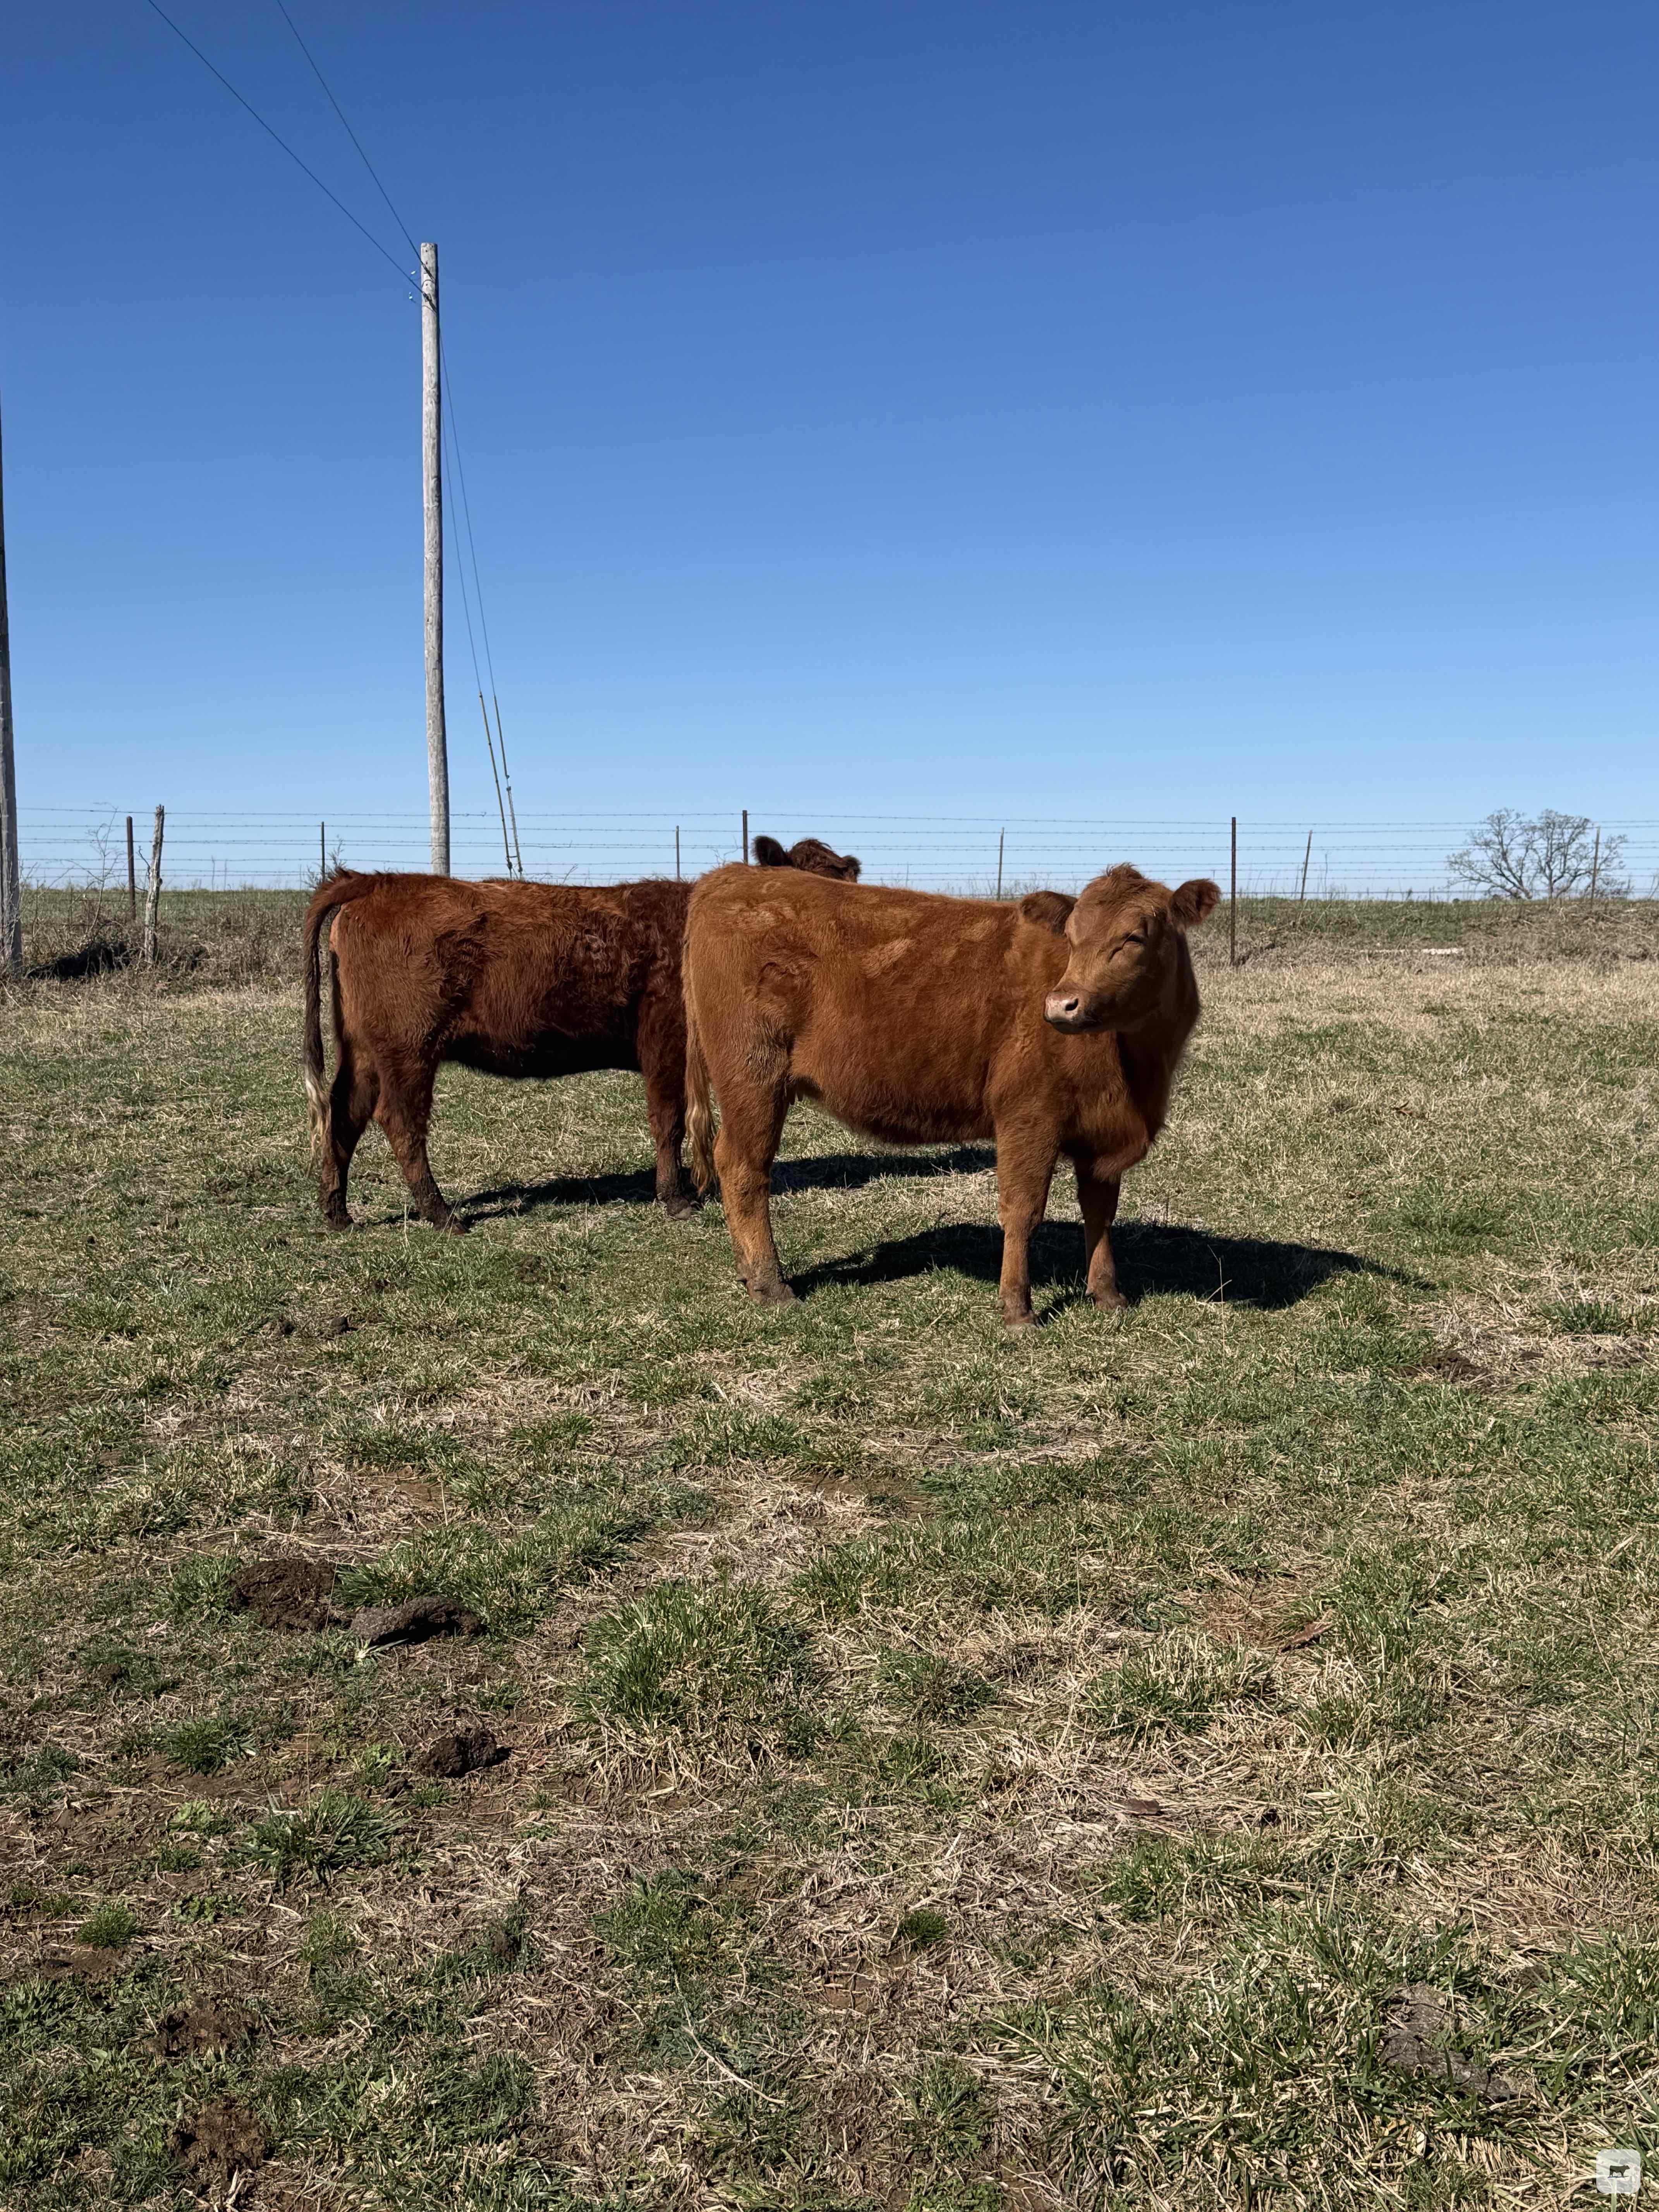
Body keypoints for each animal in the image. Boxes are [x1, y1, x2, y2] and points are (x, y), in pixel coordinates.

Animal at [301, 837, 859, 1234]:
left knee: (345, 1112)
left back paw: (338, 1212)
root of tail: (378, 881)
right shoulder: (666, 1042)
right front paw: (675, 1198)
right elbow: (669, 1123)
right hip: (409, 1049)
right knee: (400, 1123)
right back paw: (441, 1215)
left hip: (366, 1050)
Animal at [682, 863, 1220, 1325]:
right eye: (1071, 938)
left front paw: (1107, 1294)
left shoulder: (1103, 1131)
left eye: (1134, 938)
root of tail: (727, 878)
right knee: (743, 1167)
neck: (1137, 1069)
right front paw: (1017, 1310)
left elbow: (1101, 1213)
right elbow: (1022, 1210)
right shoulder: (1028, 1115)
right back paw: (770, 1284)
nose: (1061, 1005)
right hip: (753, 1077)